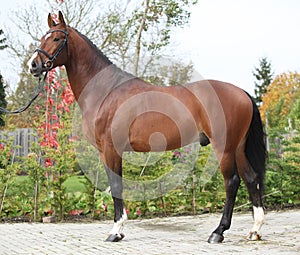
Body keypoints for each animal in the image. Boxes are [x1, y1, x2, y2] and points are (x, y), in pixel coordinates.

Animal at [28, 11, 268, 243]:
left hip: (224, 147)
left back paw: (218, 232)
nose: (33, 65)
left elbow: (116, 186)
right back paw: (254, 230)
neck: (106, 91)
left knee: (232, 182)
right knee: (250, 178)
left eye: (57, 38)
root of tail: (242, 93)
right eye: (42, 38)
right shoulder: (107, 151)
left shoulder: (111, 149)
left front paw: (116, 231)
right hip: (238, 147)